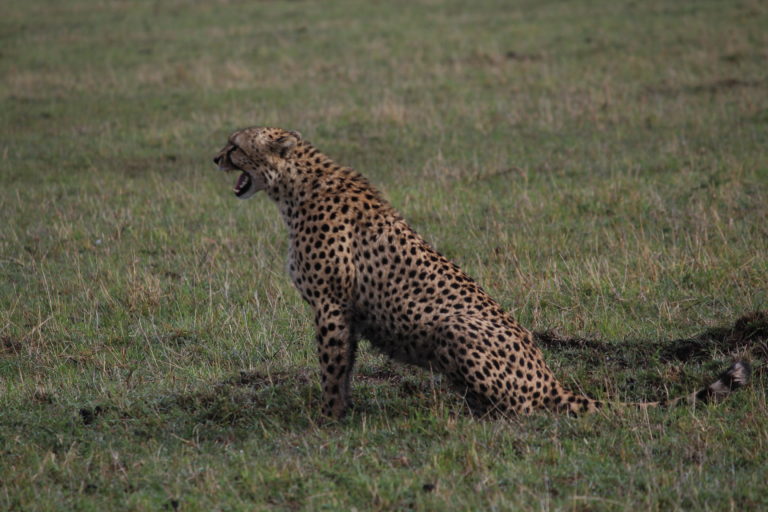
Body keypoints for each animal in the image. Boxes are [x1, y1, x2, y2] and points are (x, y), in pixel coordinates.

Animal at [212, 128, 752, 420]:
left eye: (234, 145)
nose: (214, 158)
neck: (293, 185)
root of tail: (548, 376)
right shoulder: (344, 312)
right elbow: (343, 369)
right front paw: (340, 414)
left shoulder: (330, 305)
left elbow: (330, 370)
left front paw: (325, 420)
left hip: (454, 327)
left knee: (527, 410)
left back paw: (483, 415)